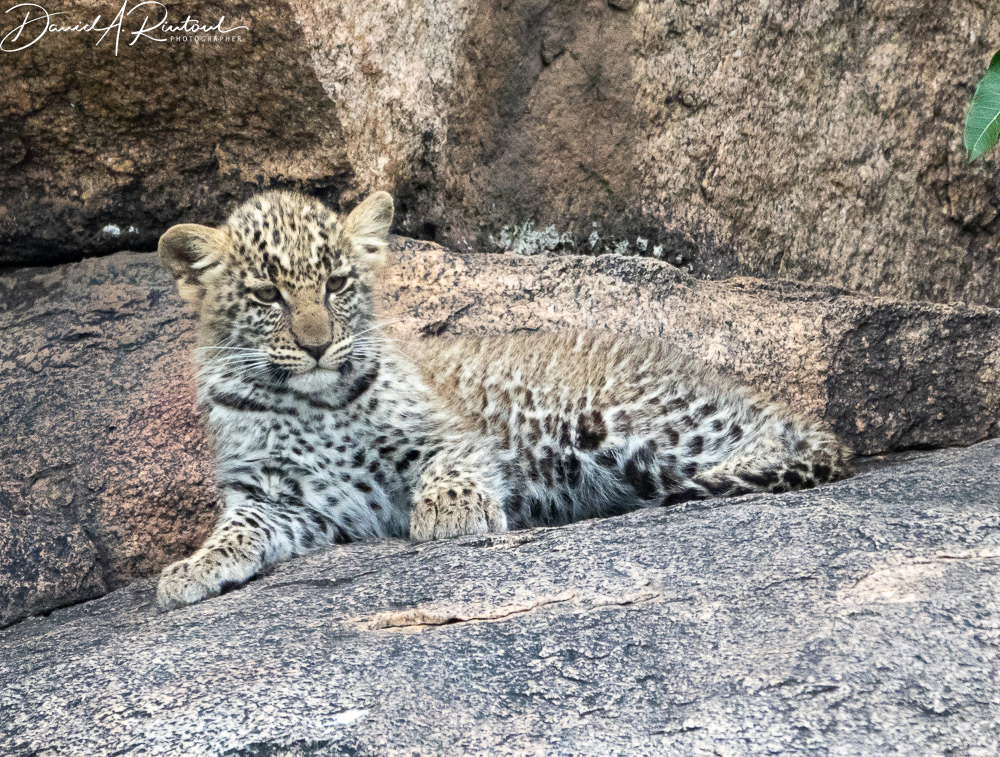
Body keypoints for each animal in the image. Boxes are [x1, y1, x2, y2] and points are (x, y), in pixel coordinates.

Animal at [155, 189, 853, 610]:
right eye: (267, 295)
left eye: (337, 284)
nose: (319, 345)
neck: (312, 406)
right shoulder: (282, 499)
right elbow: (239, 528)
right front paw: (193, 568)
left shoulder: (448, 433)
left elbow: (452, 465)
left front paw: (451, 515)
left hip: (627, 424)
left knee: (785, 439)